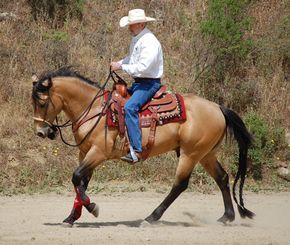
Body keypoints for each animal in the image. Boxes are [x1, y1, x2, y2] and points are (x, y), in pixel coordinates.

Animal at [30, 66, 255, 226]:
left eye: (42, 102)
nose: (41, 132)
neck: (93, 109)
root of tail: (218, 107)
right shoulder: (85, 152)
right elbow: (80, 183)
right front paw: (71, 217)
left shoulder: (98, 153)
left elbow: (77, 177)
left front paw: (93, 207)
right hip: (206, 154)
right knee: (222, 178)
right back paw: (227, 217)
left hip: (190, 154)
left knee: (180, 184)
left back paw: (152, 217)